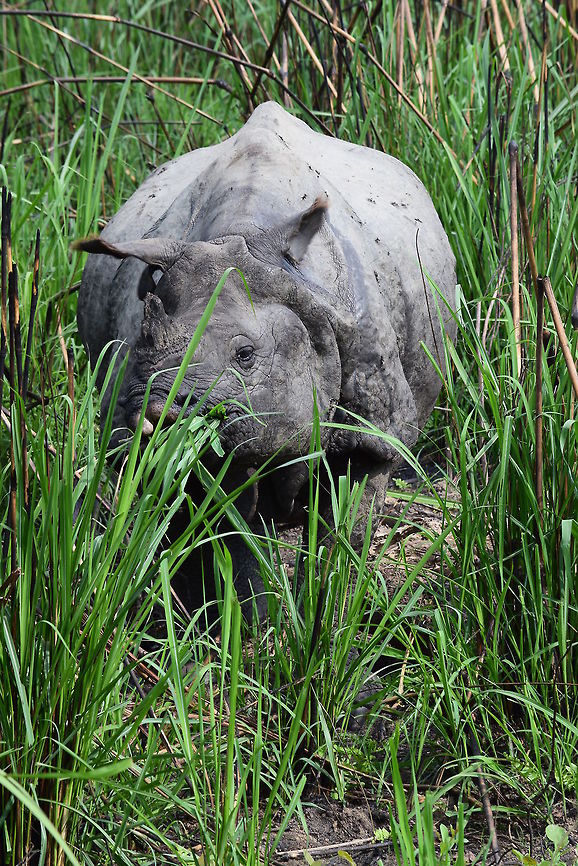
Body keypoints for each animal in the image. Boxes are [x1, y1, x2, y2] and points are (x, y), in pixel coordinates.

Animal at [76, 101, 456, 620]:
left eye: (245, 355)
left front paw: (330, 614)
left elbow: (348, 530)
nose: (160, 412)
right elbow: (229, 537)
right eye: (142, 346)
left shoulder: (374, 431)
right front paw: (250, 626)